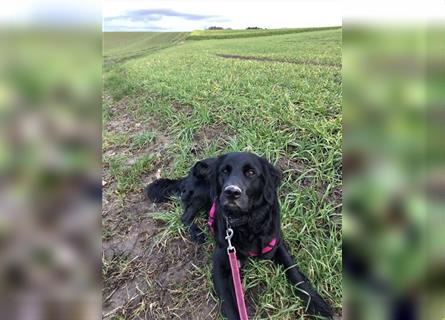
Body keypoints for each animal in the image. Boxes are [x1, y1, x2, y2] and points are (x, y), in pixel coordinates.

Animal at [146, 152, 332, 318]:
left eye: (251, 173)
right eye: (224, 171)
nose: (231, 192)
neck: (247, 223)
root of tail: (187, 175)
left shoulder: (276, 244)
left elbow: (294, 273)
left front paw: (316, 304)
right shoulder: (221, 262)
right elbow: (229, 304)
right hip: (202, 192)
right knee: (185, 215)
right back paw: (196, 233)